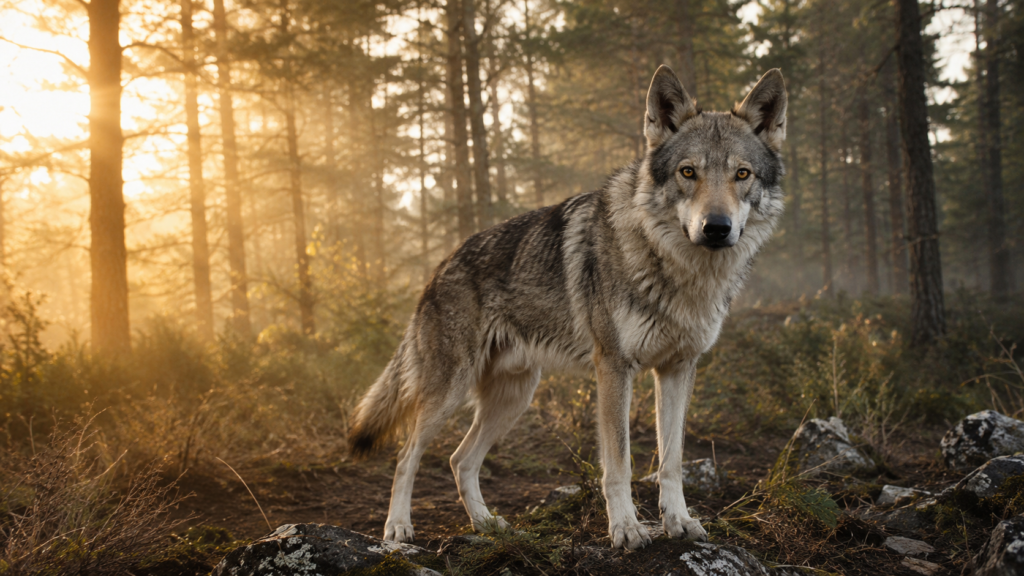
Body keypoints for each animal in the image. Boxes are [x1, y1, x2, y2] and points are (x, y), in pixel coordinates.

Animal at [347, 65, 787, 550]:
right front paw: (626, 529)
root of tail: (439, 267)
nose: (716, 227)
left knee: (459, 461)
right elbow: (619, 464)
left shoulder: (678, 368)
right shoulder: (613, 368)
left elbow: (671, 462)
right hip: (450, 392)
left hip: (514, 398)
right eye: (688, 172)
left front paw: (680, 523)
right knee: (407, 455)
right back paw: (398, 529)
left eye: (742, 174)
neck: (680, 273)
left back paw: (488, 525)